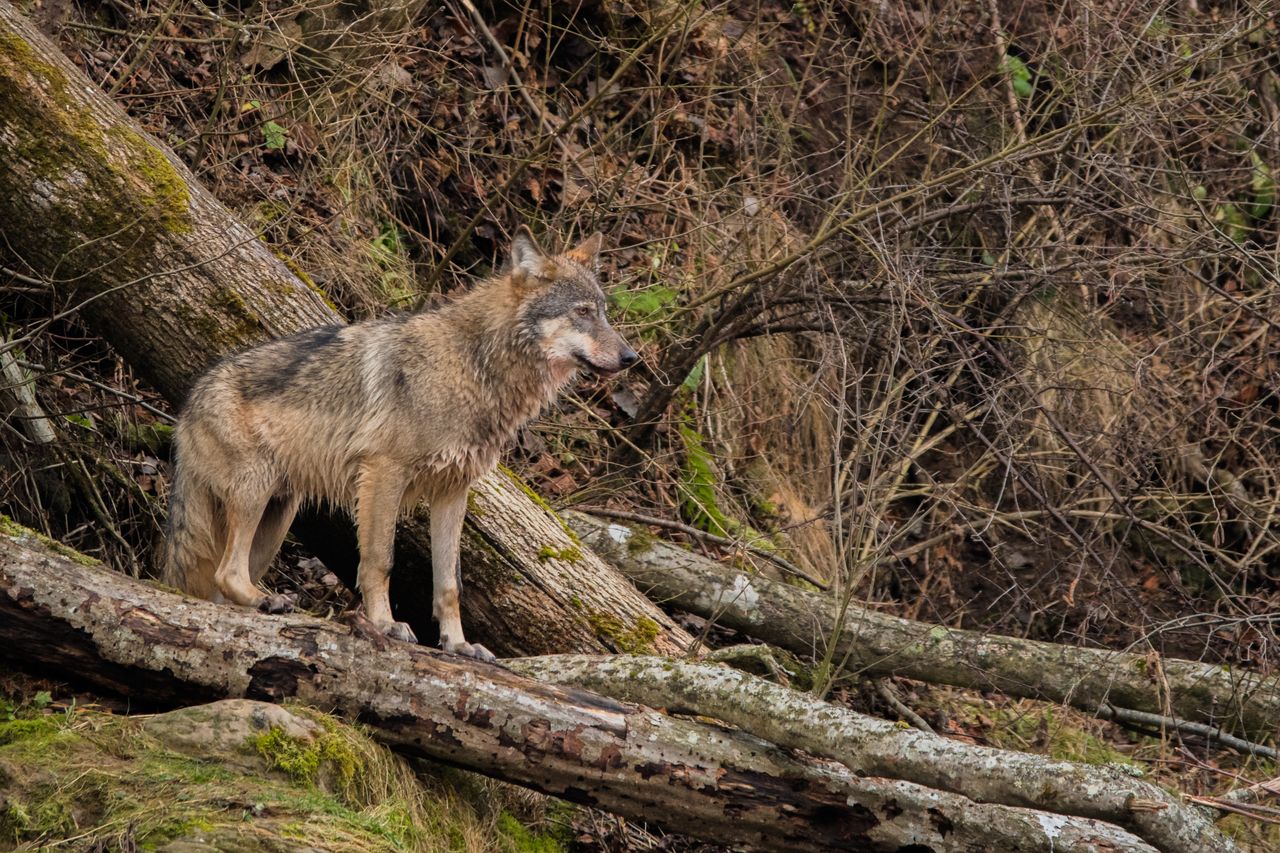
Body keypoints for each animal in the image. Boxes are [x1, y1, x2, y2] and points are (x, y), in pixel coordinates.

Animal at [162, 225, 637, 655]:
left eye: (603, 312)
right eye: (582, 312)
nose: (631, 357)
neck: (473, 368)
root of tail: (189, 404)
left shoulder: (453, 491)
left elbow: (449, 583)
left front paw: (457, 644)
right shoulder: (383, 473)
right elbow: (379, 560)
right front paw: (385, 624)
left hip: (277, 517)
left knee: (223, 586)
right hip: (255, 496)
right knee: (227, 573)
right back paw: (267, 601)